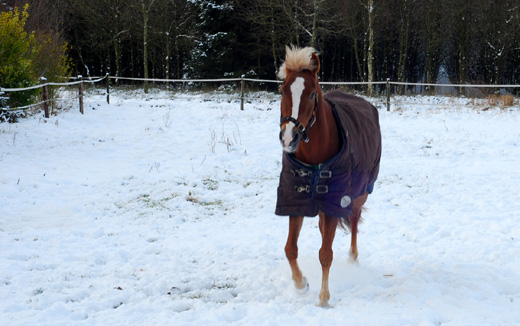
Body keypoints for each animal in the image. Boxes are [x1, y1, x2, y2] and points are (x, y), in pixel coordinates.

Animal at [276, 45, 382, 308]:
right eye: (282, 90)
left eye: (312, 94)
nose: (289, 138)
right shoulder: (296, 200)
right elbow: (290, 249)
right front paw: (301, 284)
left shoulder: (337, 200)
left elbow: (326, 253)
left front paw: (324, 298)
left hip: (359, 195)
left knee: (353, 220)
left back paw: (353, 258)